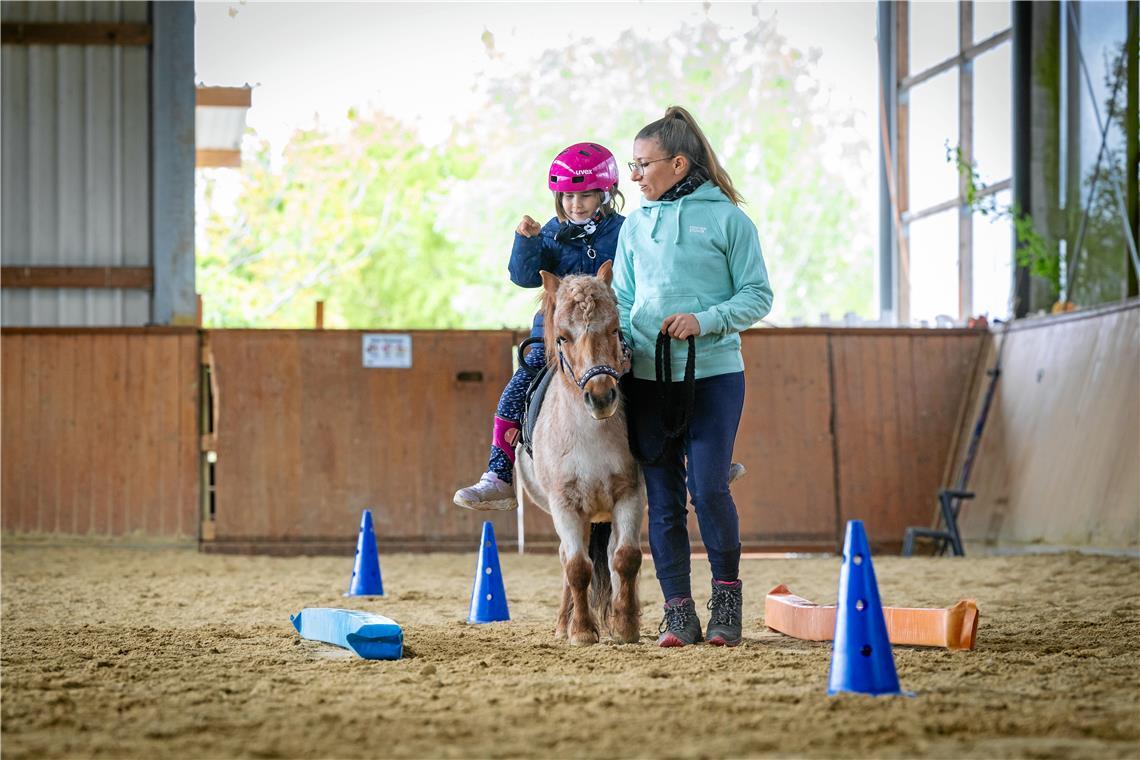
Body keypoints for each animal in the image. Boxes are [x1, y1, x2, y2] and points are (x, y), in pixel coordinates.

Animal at [515, 258, 642, 647]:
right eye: (562, 337)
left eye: (615, 329)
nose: (600, 397)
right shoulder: (566, 504)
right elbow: (577, 567)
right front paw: (582, 631)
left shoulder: (629, 494)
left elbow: (626, 558)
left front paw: (626, 626)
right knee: (571, 559)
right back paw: (563, 623)